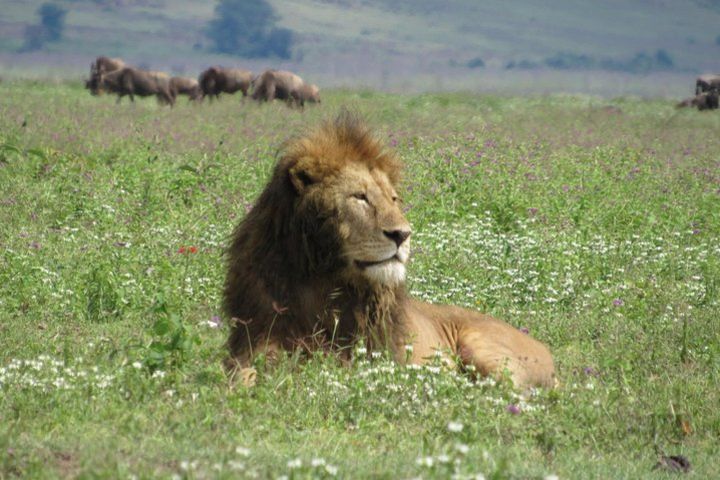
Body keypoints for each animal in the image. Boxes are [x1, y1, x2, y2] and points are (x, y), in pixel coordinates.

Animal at [225, 112, 556, 390]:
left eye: (393, 199)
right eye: (360, 197)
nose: (402, 234)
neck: (321, 280)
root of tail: (547, 351)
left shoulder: (369, 357)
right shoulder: (256, 338)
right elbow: (241, 374)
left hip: (482, 348)